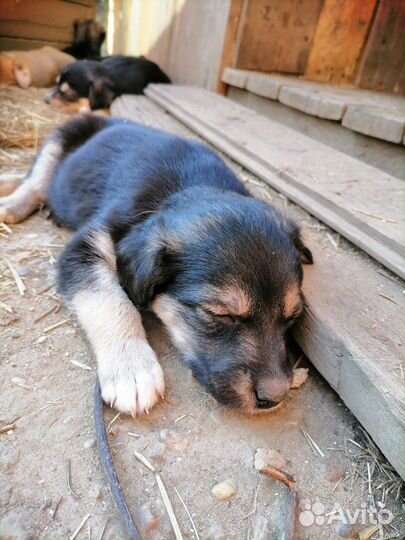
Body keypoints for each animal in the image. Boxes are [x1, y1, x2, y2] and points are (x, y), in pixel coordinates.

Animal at [0, 116, 312, 416]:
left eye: (292, 317)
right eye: (219, 314)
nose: (275, 398)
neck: (189, 185)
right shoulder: (86, 246)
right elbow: (111, 302)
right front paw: (131, 368)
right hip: (60, 136)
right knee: (36, 181)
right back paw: (11, 204)